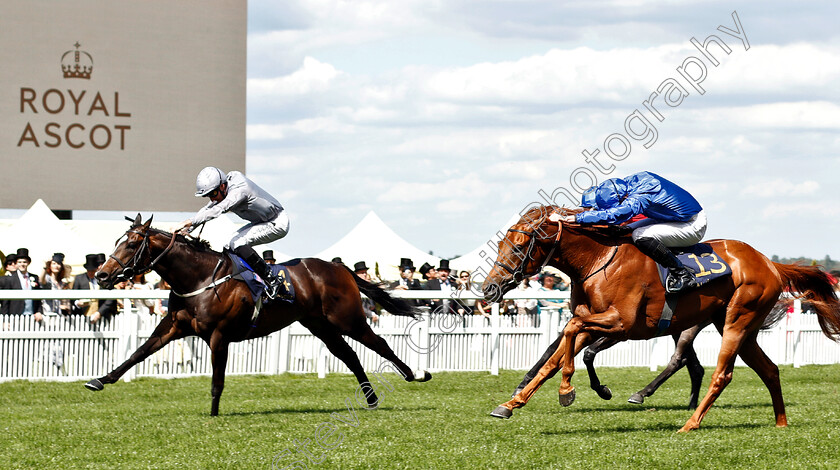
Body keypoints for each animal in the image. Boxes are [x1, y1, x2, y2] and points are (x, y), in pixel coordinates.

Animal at [88, 215, 430, 416]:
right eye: (118, 241)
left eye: (133, 243)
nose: (102, 275)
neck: (199, 279)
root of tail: (340, 267)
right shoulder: (173, 327)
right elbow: (137, 354)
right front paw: (100, 380)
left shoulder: (219, 336)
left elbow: (217, 380)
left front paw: (213, 414)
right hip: (319, 325)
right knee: (349, 355)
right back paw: (371, 399)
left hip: (347, 319)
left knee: (378, 344)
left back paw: (415, 373)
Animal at [480, 204, 840, 432]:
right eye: (500, 245)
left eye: (518, 246)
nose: (488, 288)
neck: (597, 260)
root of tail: (769, 263)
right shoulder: (594, 321)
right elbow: (556, 356)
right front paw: (511, 403)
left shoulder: (621, 323)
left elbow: (571, 336)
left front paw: (570, 390)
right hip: (737, 326)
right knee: (768, 369)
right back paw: (780, 422)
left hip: (737, 320)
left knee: (719, 373)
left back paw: (690, 423)